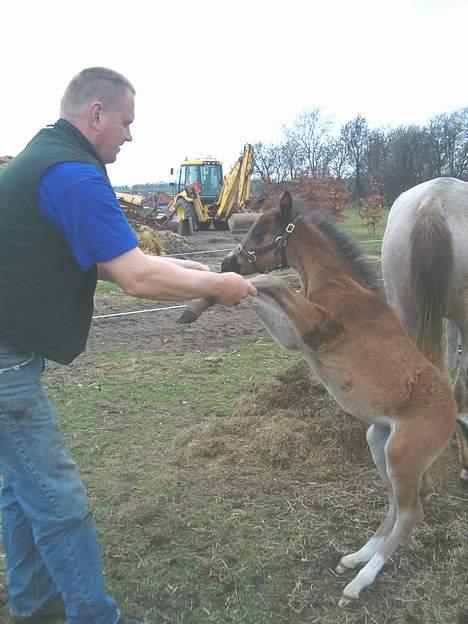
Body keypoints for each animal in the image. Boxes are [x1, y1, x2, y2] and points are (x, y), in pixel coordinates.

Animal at [181, 193, 458, 608]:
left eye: (259, 231)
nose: (229, 261)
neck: (337, 282)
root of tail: (454, 412)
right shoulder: (295, 337)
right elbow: (254, 290)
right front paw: (197, 304)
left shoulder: (318, 328)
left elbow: (266, 280)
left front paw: (198, 301)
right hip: (379, 442)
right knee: (396, 504)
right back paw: (356, 557)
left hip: (403, 455)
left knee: (412, 513)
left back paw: (359, 582)